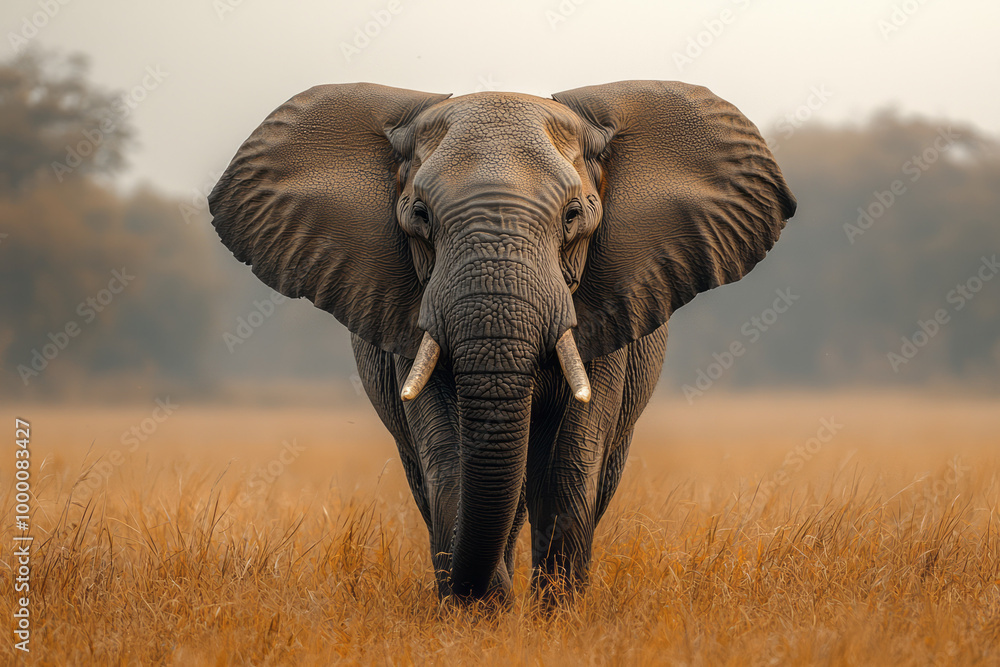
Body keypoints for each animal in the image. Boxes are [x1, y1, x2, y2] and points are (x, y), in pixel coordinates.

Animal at [208, 80, 796, 603]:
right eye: (419, 215)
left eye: (574, 215)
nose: (487, 597)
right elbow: (451, 461)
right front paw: (480, 615)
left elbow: (567, 466)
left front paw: (554, 619)